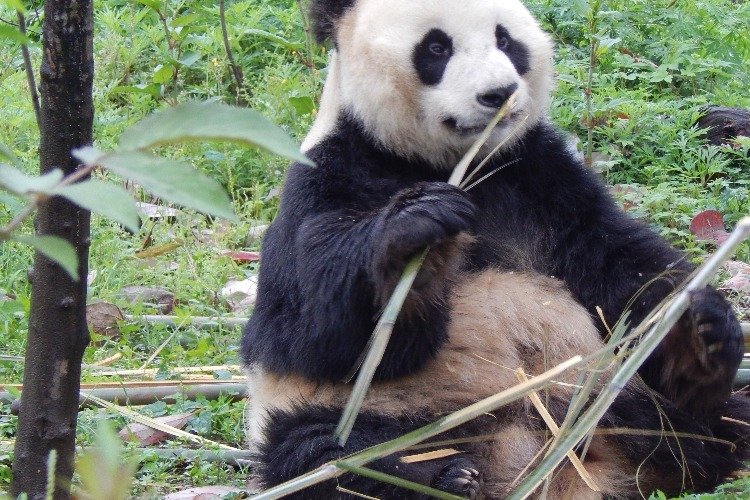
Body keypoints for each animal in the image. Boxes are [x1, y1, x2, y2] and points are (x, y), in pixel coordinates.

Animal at [241, 0, 750, 498]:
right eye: (437, 47)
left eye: (506, 41)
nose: (499, 93)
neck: (454, 164)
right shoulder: (330, 174)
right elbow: (309, 331)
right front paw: (418, 234)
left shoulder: (541, 178)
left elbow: (620, 269)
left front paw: (699, 328)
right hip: (362, 413)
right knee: (321, 456)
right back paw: (443, 475)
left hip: (609, 393)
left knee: (713, 420)